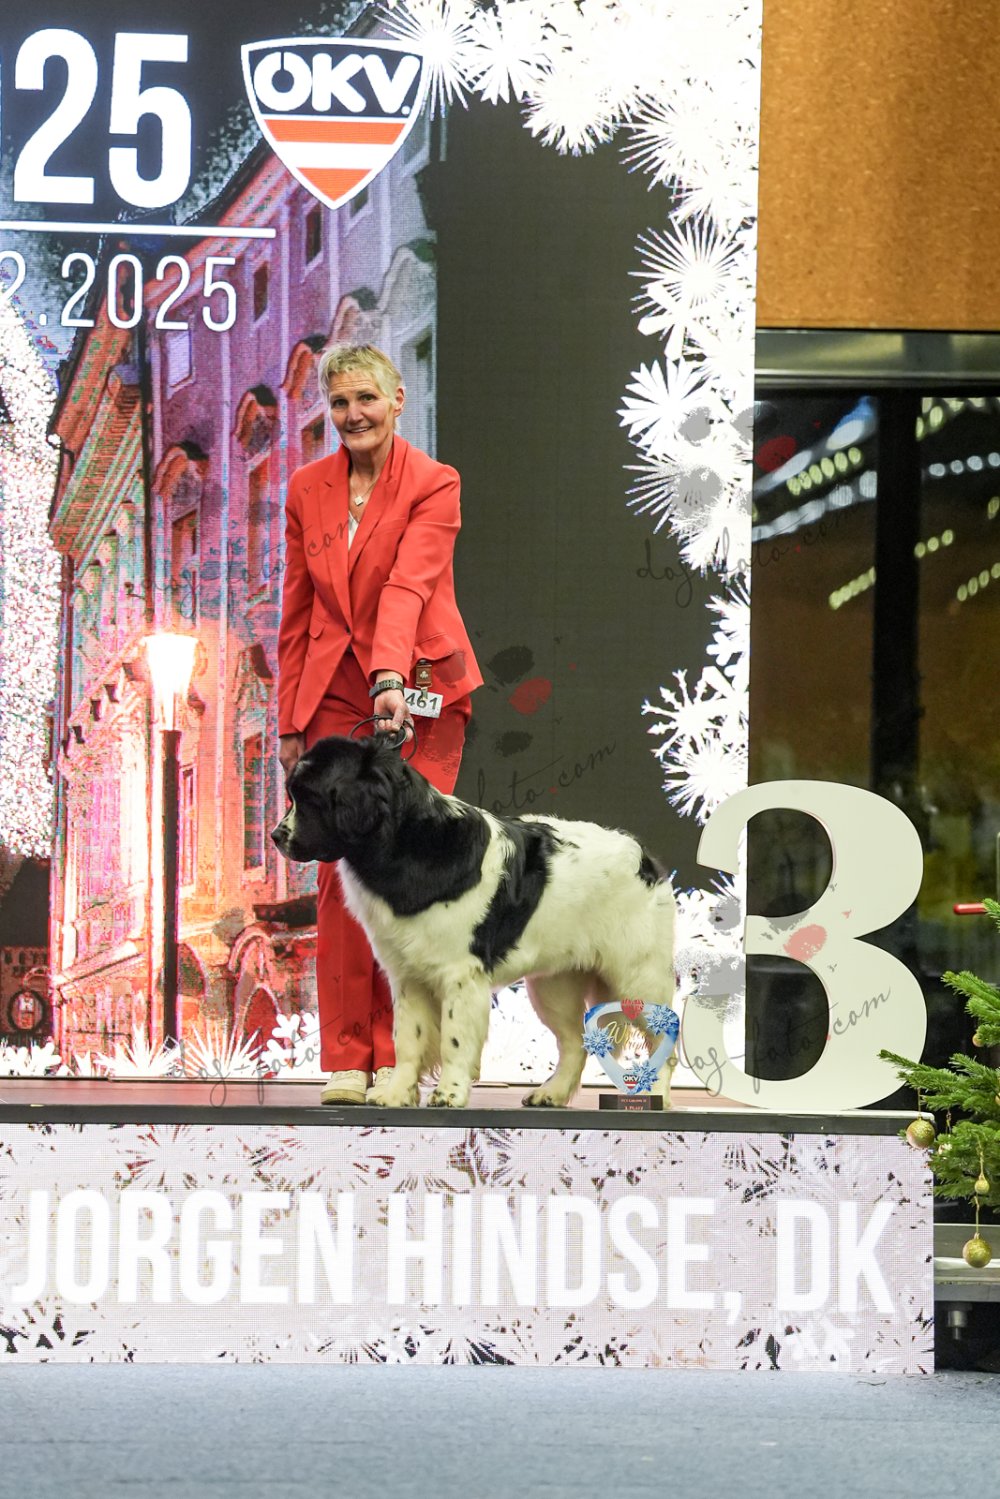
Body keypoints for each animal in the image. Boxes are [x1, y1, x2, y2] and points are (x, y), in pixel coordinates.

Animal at [272, 734, 677, 1109]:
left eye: (309, 799)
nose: (276, 835)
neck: (406, 843)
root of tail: (645, 857)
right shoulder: (407, 976)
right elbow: (408, 1039)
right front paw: (396, 1094)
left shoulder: (460, 974)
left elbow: (453, 1037)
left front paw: (449, 1093)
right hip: (554, 985)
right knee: (574, 1042)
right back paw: (551, 1093)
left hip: (637, 976)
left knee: (664, 1035)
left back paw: (656, 1095)